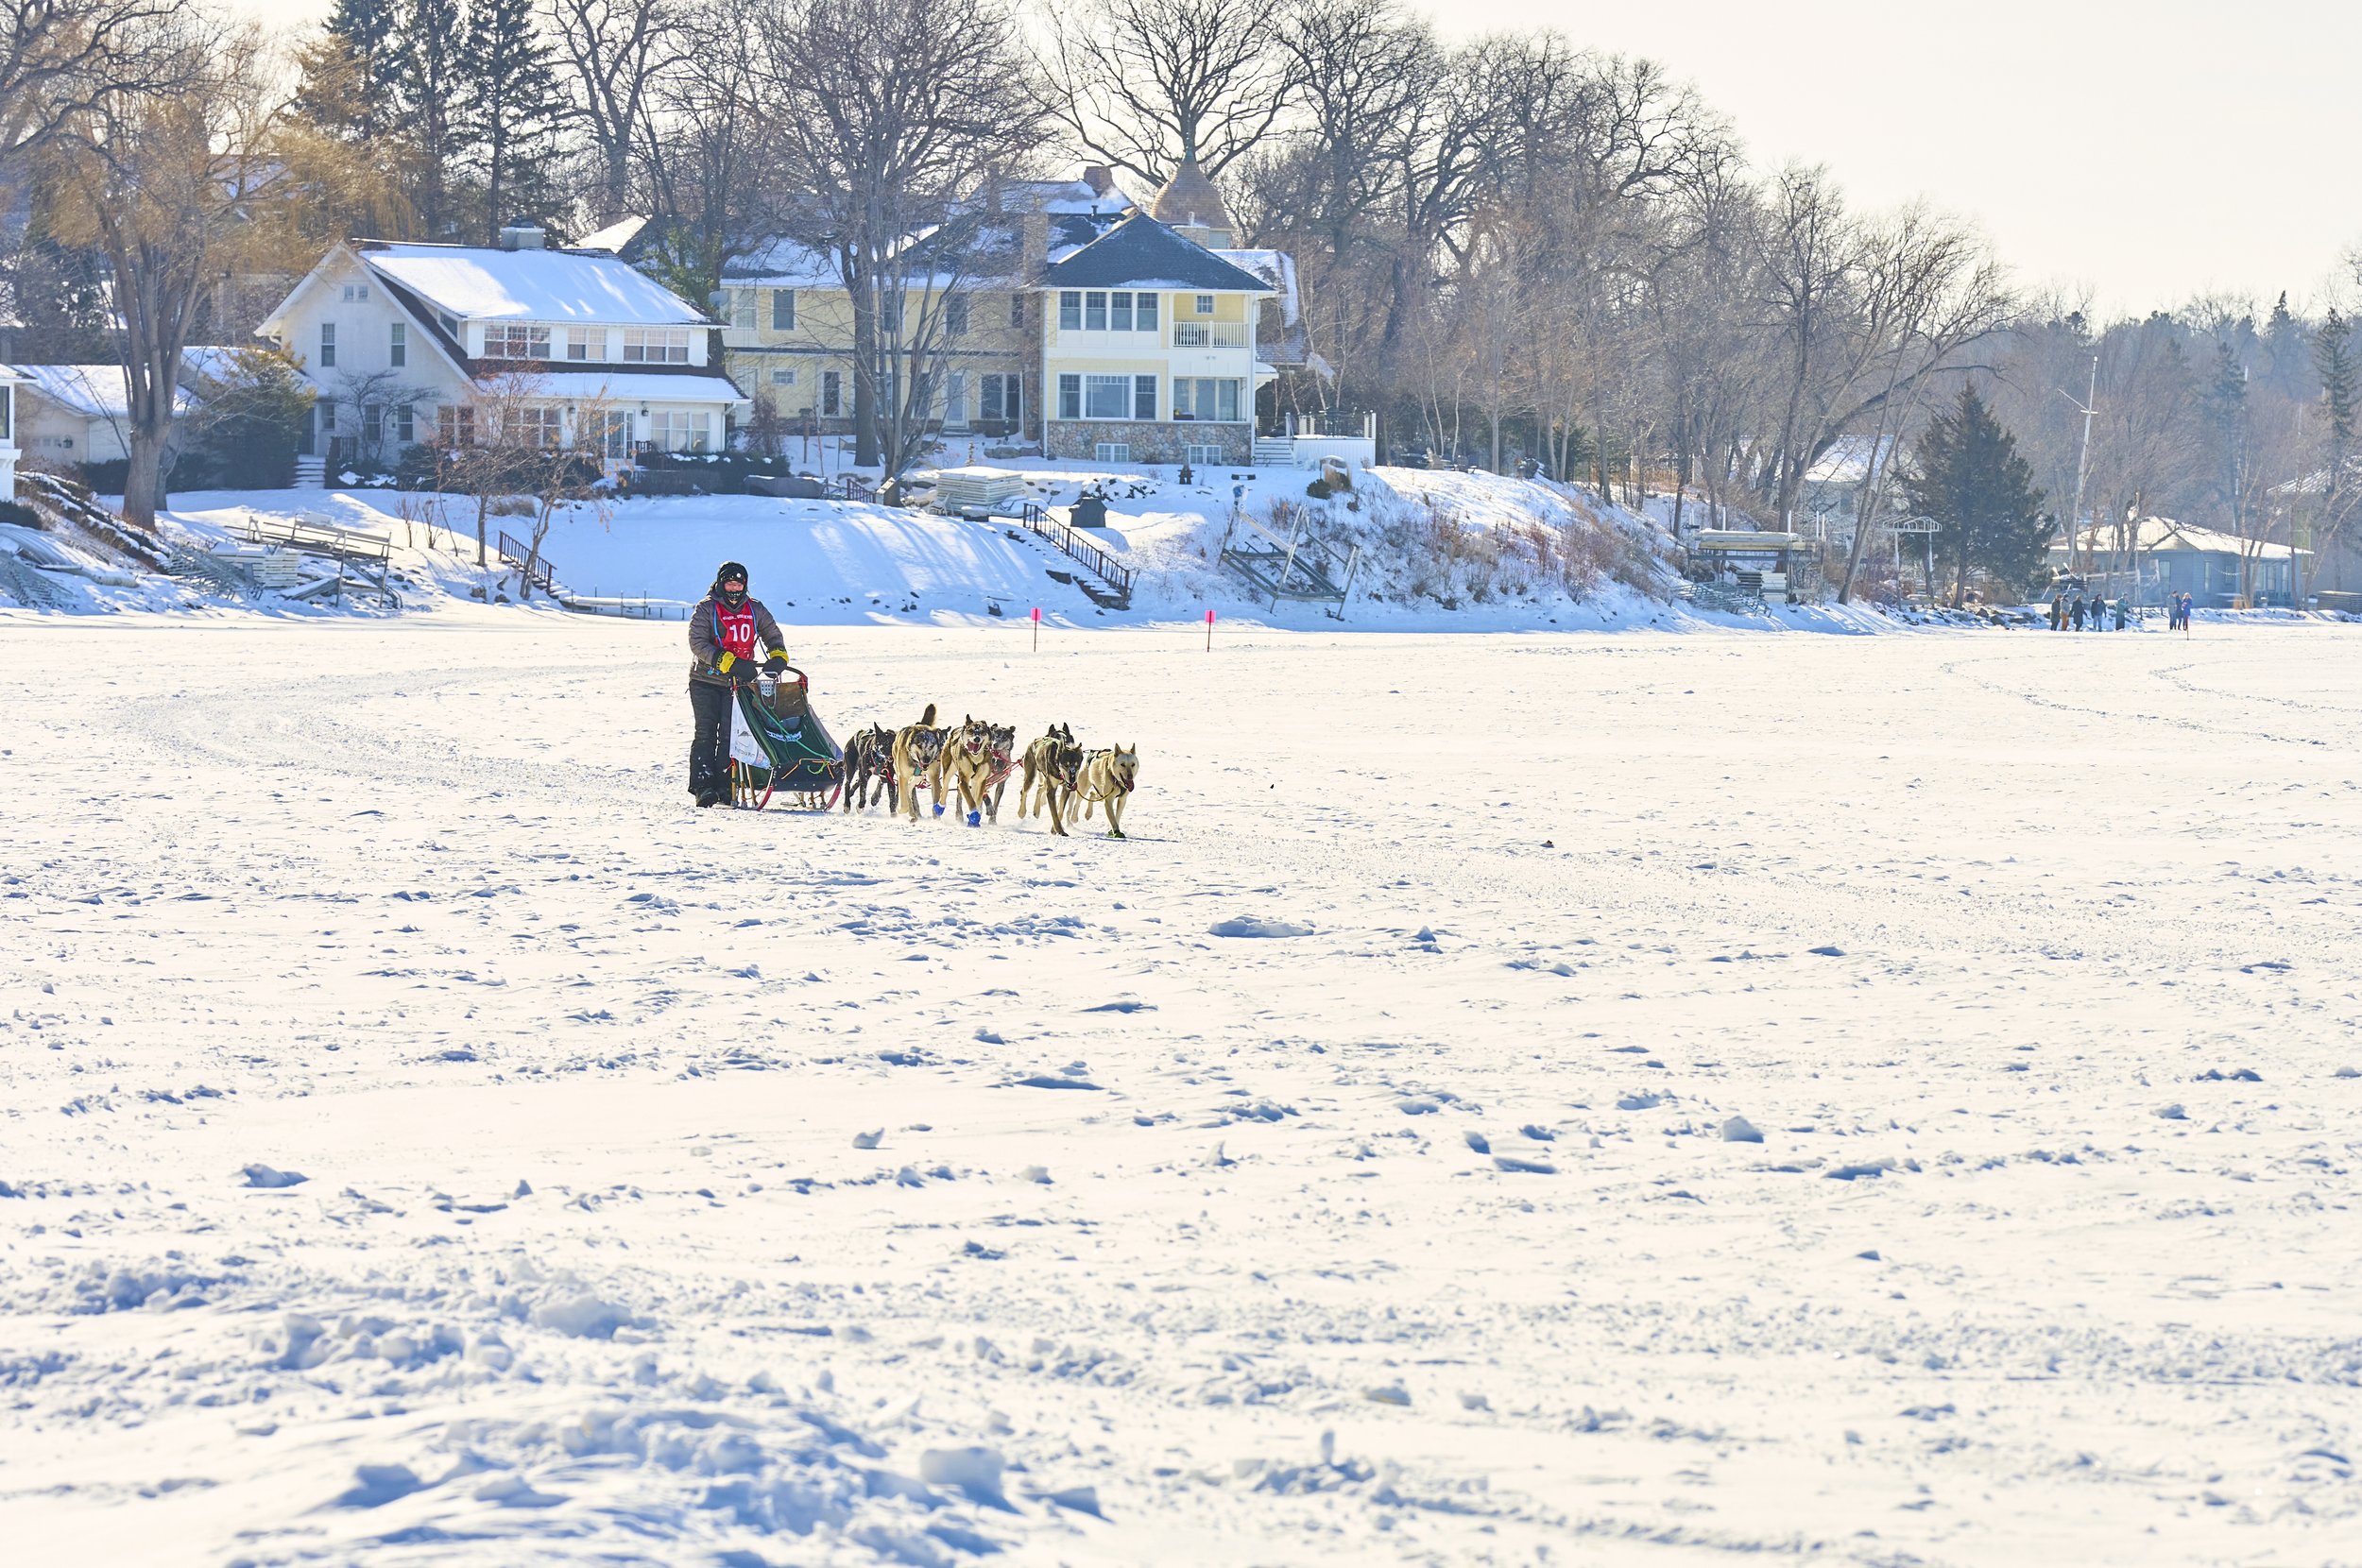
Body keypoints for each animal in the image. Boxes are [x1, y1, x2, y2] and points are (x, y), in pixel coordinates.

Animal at [888, 699, 945, 822]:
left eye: (931, 746)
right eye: (919, 745)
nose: (926, 759)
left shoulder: (934, 777)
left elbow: (936, 798)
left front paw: (936, 818)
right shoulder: (902, 777)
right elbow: (904, 803)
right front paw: (901, 810)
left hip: (919, 776)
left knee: (910, 787)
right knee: (907, 793)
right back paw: (911, 815)